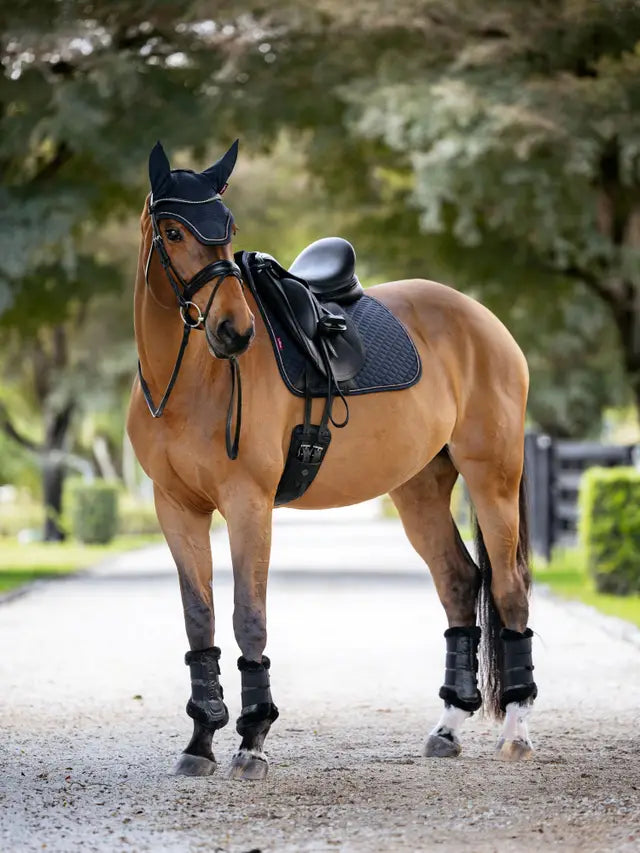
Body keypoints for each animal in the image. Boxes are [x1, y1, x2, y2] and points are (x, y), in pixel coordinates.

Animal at [127, 139, 537, 781]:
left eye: (228, 227)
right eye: (172, 231)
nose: (234, 330)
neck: (188, 381)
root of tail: (483, 319)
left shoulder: (248, 504)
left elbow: (248, 615)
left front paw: (252, 739)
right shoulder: (176, 508)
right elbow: (201, 620)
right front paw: (200, 741)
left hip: (492, 478)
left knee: (510, 589)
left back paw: (516, 732)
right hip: (419, 487)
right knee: (458, 580)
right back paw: (448, 726)